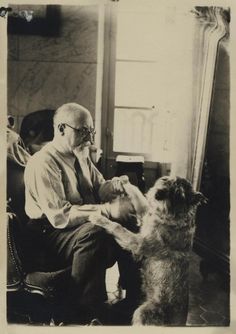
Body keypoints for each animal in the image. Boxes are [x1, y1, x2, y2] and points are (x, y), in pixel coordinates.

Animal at [90, 176, 206, 324]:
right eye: (165, 180)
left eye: (178, 194)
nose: (158, 194)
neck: (173, 218)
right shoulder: (145, 213)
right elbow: (137, 195)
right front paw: (123, 181)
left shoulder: (139, 243)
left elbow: (118, 227)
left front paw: (99, 218)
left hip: (143, 313)